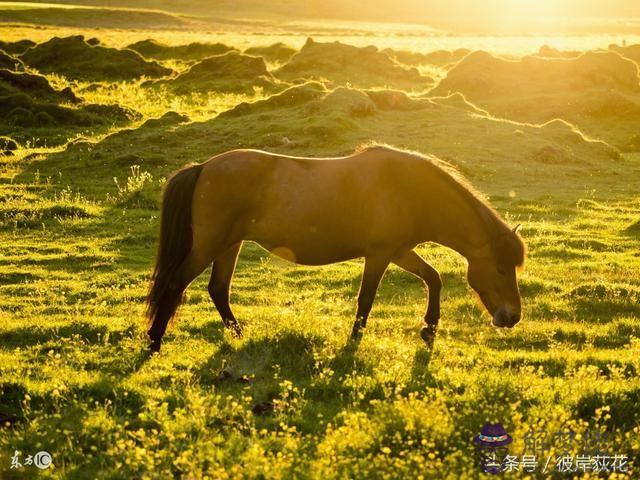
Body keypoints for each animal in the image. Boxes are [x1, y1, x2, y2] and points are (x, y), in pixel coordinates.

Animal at [145, 145, 524, 352]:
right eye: (501, 268)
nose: (512, 317)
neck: (411, 190)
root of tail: (204, 167)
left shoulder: (400, 251)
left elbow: (433, 278)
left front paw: (429, 329)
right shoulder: (380, 253)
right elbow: (367, 298)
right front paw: (354, 340)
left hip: (229, 244)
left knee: (218, 289)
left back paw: (239, 334)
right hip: (210, 244)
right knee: (176, 283)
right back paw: (154, 341)